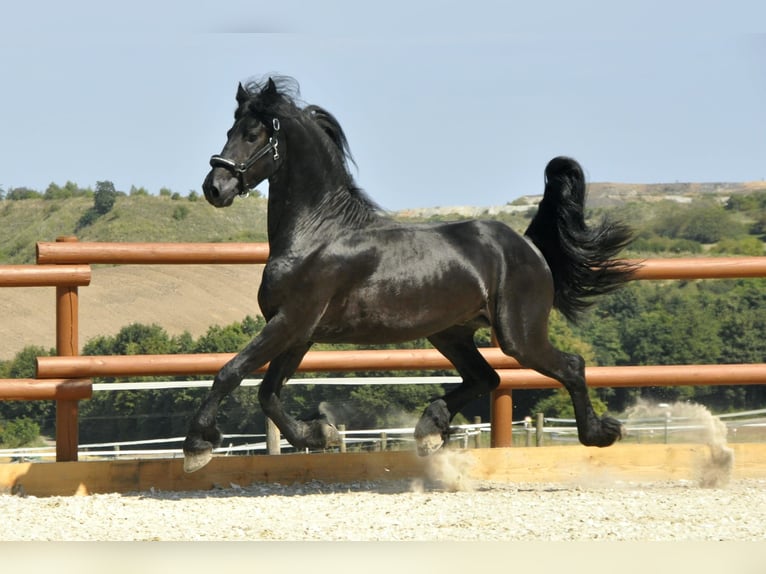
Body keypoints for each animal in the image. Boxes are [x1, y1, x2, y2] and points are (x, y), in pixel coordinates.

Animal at [183, 75, 636, 472]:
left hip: (518, 336)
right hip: (450, 332)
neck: (317, 233)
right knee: (485, 377)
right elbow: (268, 393)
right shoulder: (299, 331)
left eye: (254, 134)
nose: (215, 187)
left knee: (570, 366)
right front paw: (319, 435)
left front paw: (197, 446)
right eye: (230, 128)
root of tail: (527, 246)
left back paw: (601, 433)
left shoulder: (292, 321)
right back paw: (430, 429)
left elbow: (230, 372)